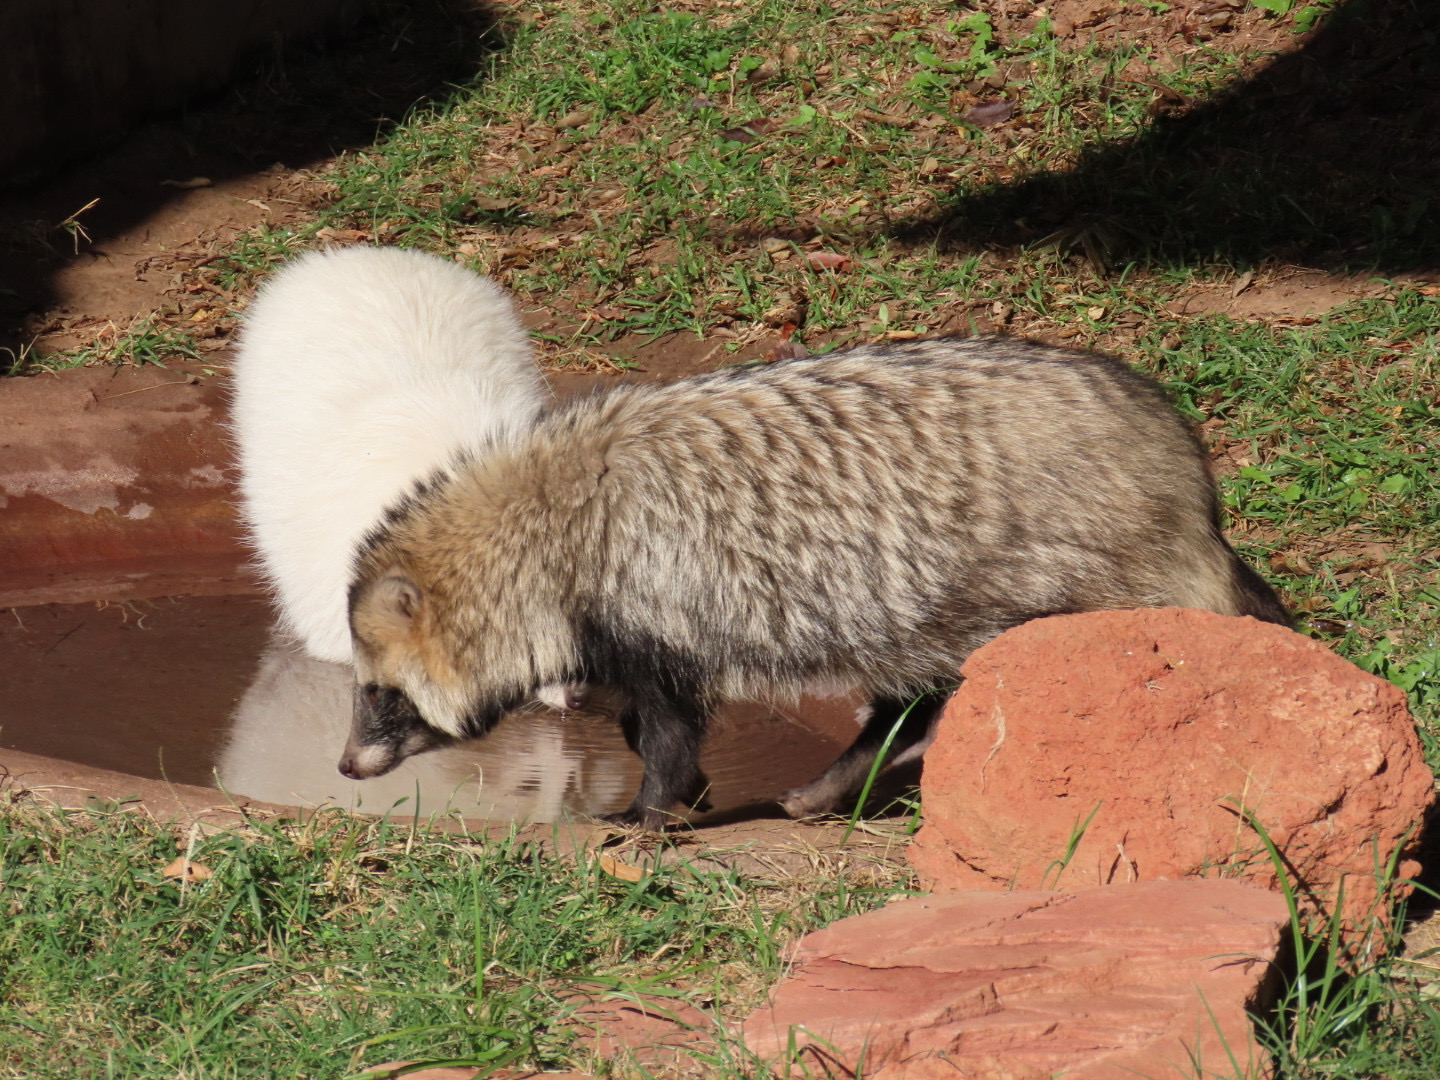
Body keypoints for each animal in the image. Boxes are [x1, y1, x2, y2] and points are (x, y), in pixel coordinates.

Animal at [344, 337, 1289, 830]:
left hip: (1055, 579)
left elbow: (670, 727)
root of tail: (1188, 476)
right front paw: (676, 784)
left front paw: (653, 804)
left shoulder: (662, 604)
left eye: (380, 693)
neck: (549, 520)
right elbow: (640, 716)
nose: (348, 765)